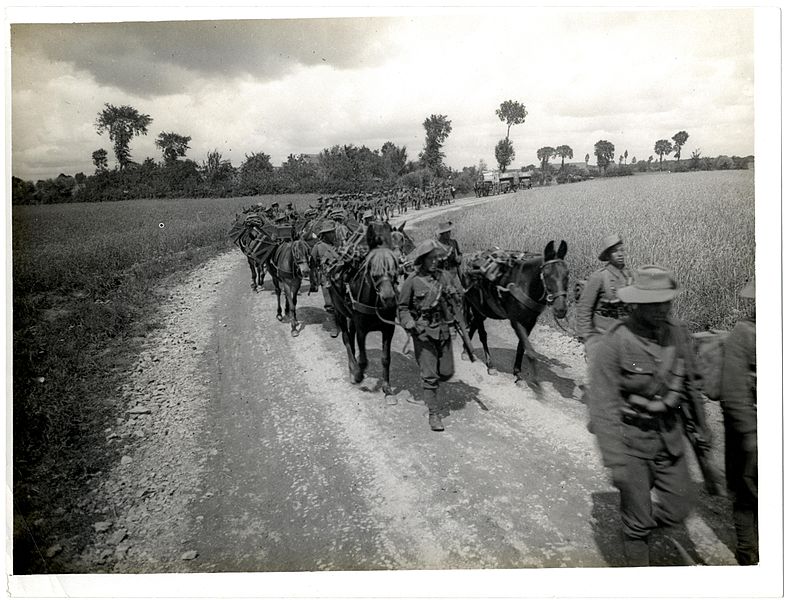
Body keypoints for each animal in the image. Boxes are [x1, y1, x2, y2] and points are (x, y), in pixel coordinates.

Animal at [326, 223, 414, 396]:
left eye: (393, 264)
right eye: (372, 266)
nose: (388, 297)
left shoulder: (388, 328)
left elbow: (385, 358)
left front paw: (386, 386)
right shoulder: (362, 330)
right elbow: (363, 360)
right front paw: (358, 374)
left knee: (350, 337)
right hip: (340, 312)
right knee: (346, 339)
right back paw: (353, 370)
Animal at [462, 241, 568, 386]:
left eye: (567, 275)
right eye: (546, 275)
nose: (560, 309)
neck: (524, 284)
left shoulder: (530, 321)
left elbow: (521, 346)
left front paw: (517, 373)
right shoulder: (516, 321)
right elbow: (526, 346)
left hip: (483, 310)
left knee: (473, 326)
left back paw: (465, 351)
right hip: (476, 306)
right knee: (482, 334)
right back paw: (490, 365)